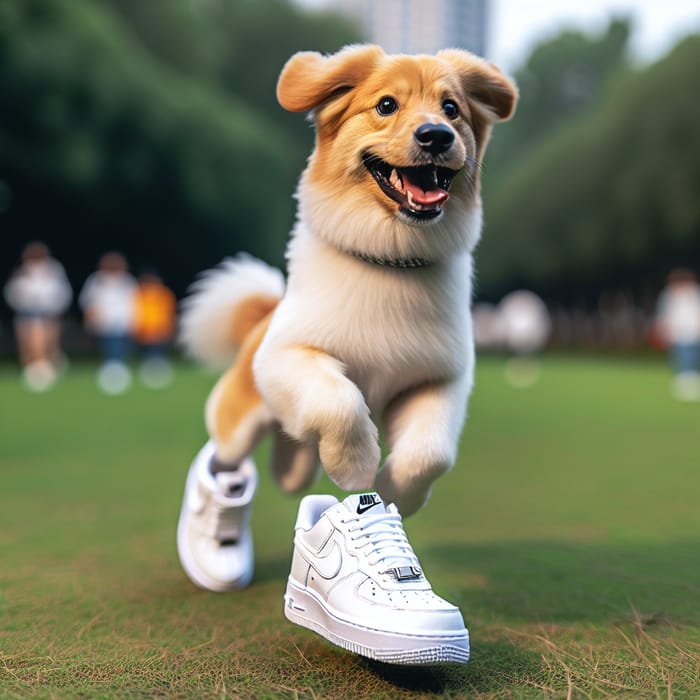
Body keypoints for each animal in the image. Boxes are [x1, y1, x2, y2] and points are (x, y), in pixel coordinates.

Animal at [182, 42, 520, 516]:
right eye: (386, 105)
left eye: (451, 108)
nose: (436, 135)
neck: (390, 259)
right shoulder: (285, 355)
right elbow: (339, 400)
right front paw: (355, 467)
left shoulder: (438, 380)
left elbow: (430, 453)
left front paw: (397, 493)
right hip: (240, 415)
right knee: (227, 452)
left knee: (293, 452)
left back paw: (292, 470)